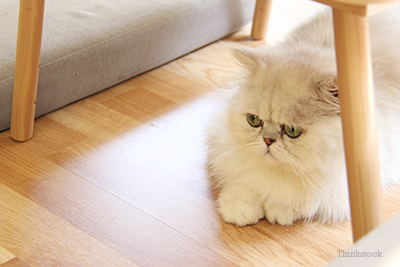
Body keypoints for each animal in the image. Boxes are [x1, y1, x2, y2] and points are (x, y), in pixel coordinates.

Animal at [206, 7, 400, 227]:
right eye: (254, 121)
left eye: (292, 131)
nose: (267, 140)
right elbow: (244, 180)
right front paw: (240, 209)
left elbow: (299, 197)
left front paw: (279, 209)